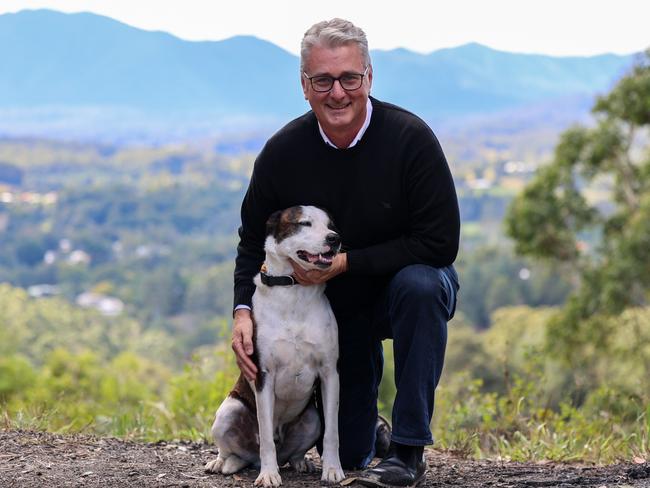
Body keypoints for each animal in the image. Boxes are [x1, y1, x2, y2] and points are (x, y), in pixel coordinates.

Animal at [204, 206, 344, 488]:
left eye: (331, 225)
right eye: (304, 223)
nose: (334, 239)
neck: (293, 289)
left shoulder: (329, 373)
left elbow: (332, 432)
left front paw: (333, 469)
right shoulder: (264, 376)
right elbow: (266, 436)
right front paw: (269, 475)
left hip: (312, 418)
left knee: (294, 451)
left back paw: (301, 462)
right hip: (228, 412)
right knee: (234, 450)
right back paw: (223, 463)